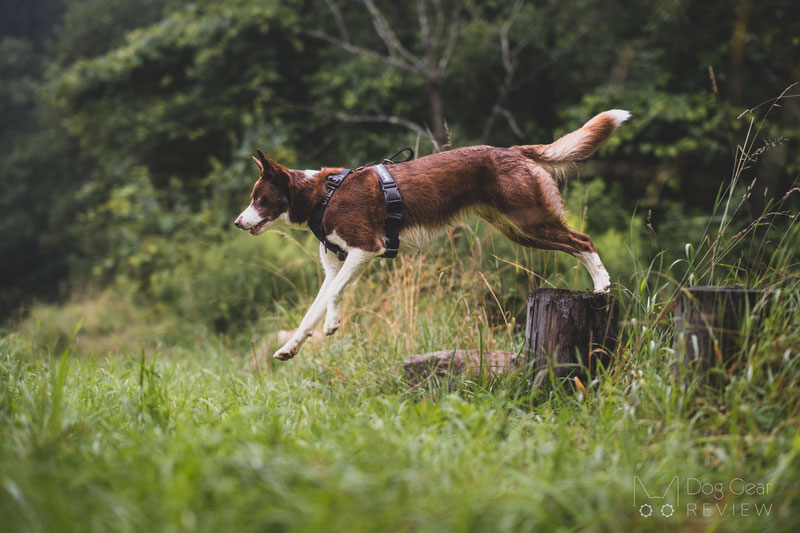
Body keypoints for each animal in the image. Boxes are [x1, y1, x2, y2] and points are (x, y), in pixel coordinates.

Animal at [234, 108, 628, 360]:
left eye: (259, 198)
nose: (237, 222)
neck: (320, 195)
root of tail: (513, 150)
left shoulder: (366, 248)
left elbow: (333, 297)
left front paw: (332, 324)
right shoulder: (335, 268)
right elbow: (310, 313)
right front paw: (290, 348)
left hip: (529, 219)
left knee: (583, 240)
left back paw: (602, 285)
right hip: (519, 231)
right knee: (573, 243)